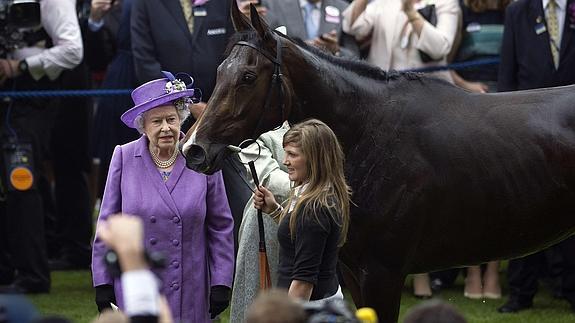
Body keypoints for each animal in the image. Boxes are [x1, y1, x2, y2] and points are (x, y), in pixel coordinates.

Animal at [182, 3, 575, 323]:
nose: (193, 149)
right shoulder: (351, 271)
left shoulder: (383, 273)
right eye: (221, 70)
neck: (370, 133)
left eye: (248, 77)